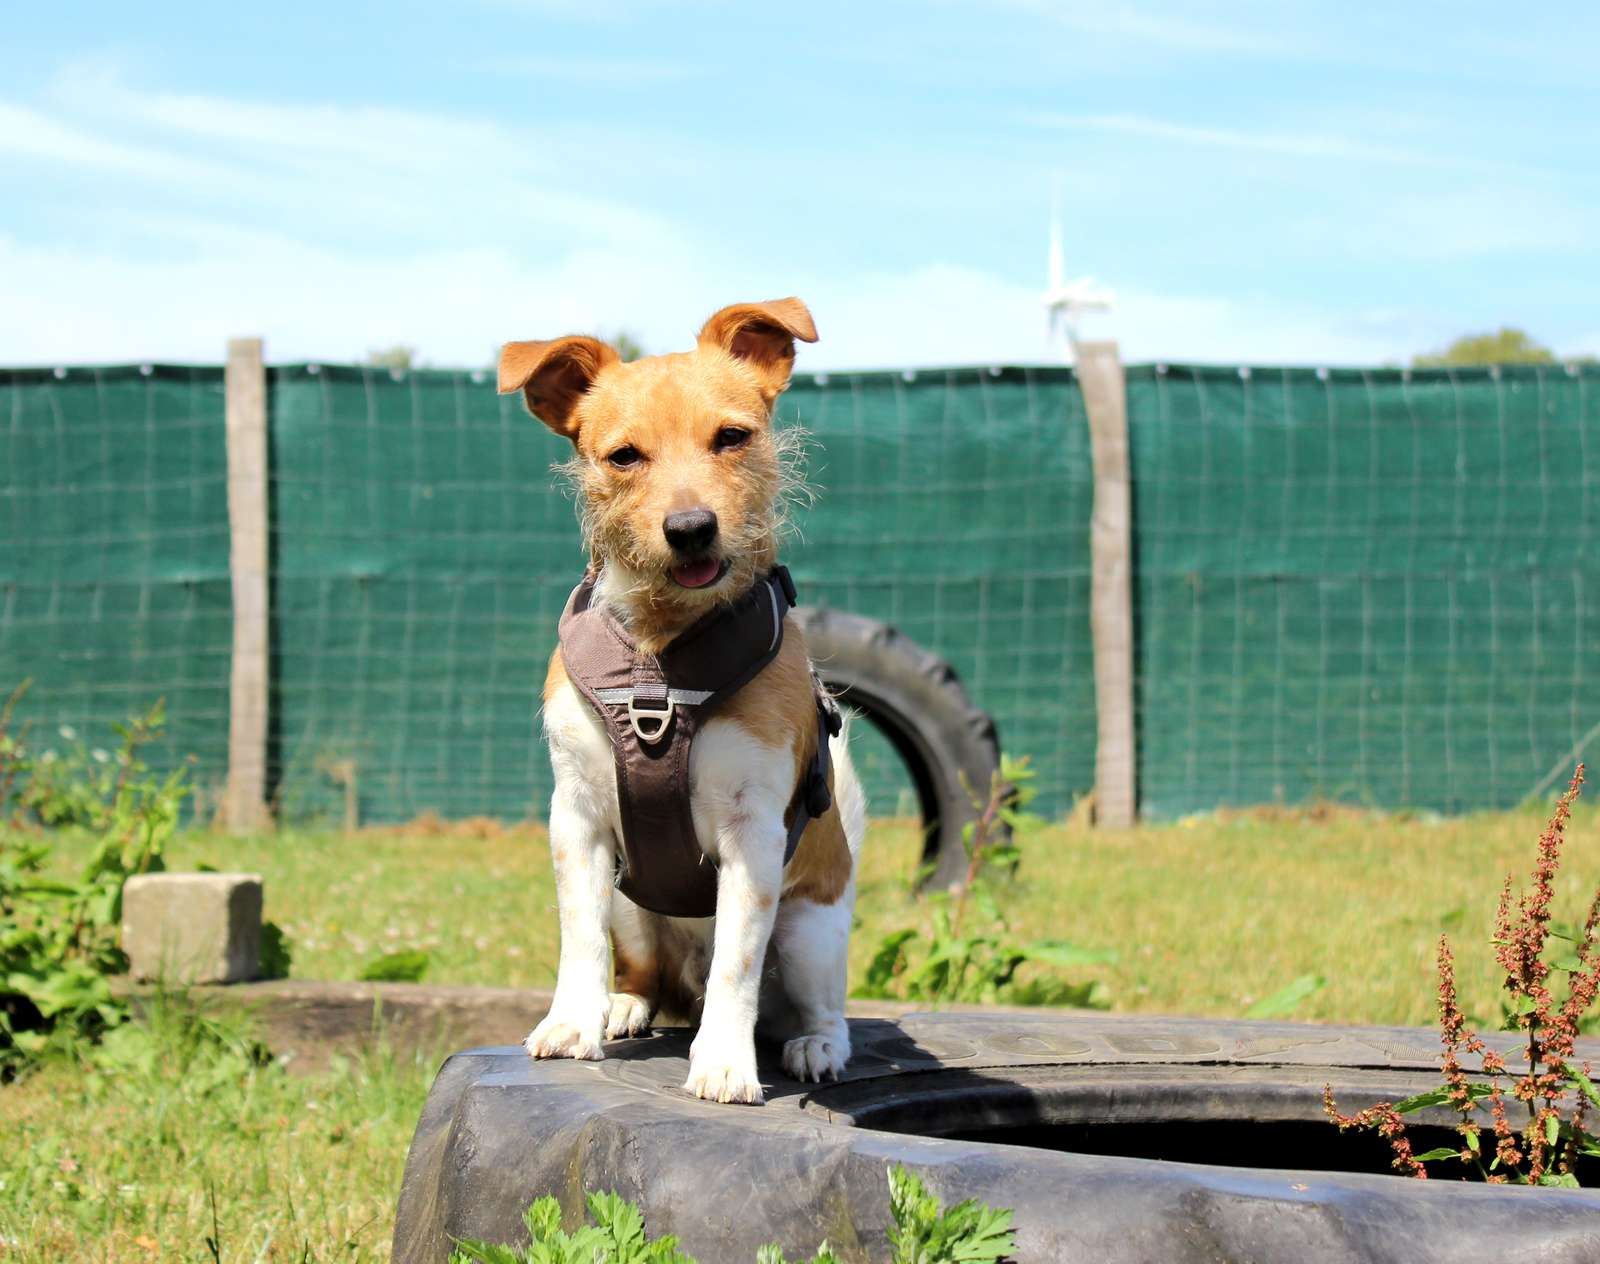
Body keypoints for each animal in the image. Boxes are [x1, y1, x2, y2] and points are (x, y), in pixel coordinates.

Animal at [499, 299, 870, 1107]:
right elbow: (579, 939)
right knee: (642, 971)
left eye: (732, 437)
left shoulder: (754, 836)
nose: (691, 528)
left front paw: (725, 1063)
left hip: (810, 934)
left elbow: (737, 962)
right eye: (623, 457)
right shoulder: (575, 819)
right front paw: (572, 1022)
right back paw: (624, 1007)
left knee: (815, 1005)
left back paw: (814, 1046)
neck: (661, 659)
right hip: (633, 905)